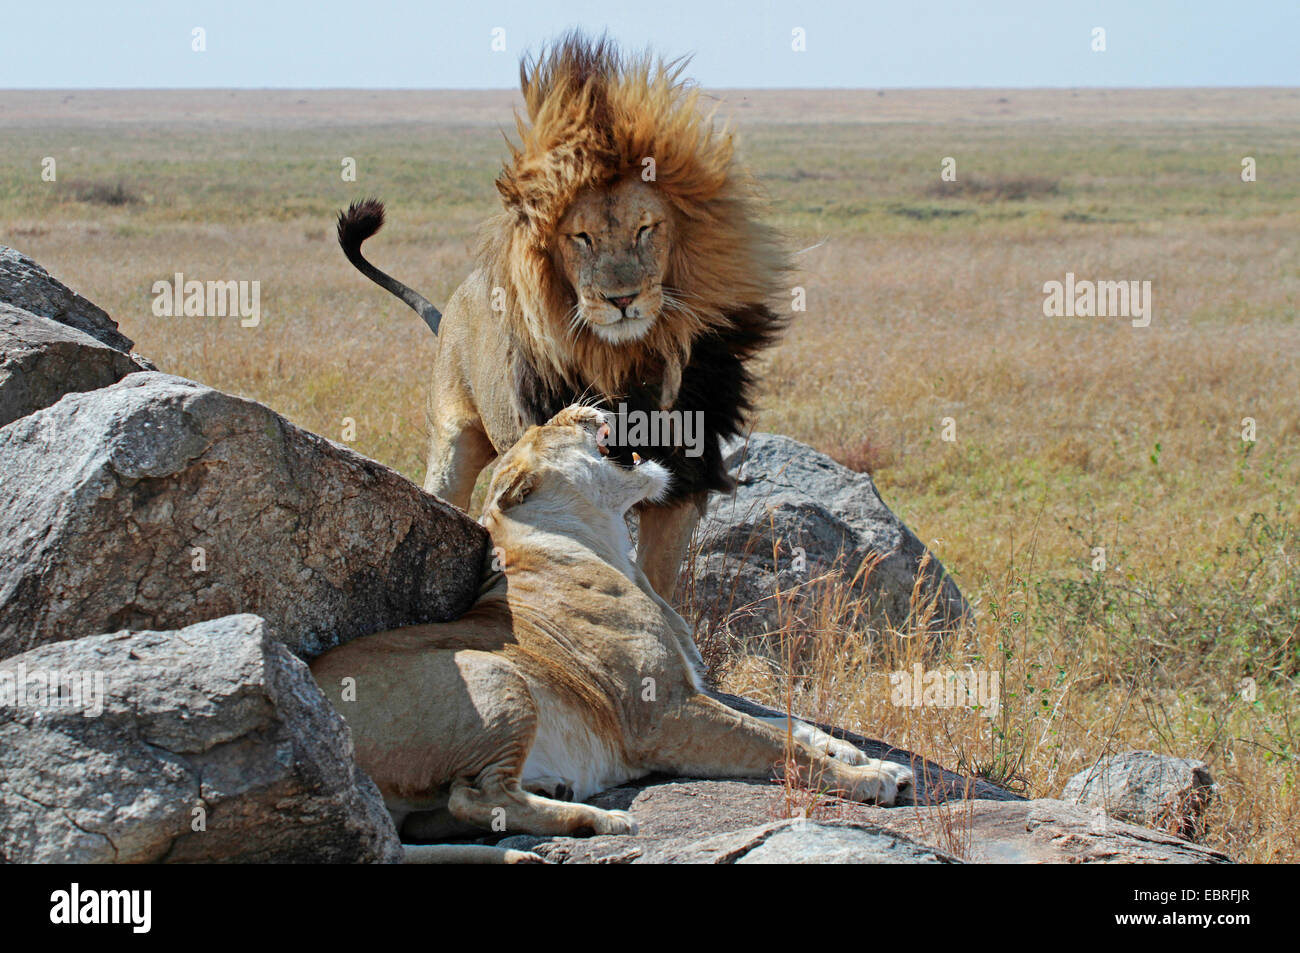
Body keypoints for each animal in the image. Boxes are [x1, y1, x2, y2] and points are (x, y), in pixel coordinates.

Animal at [310, 405, 915, 858]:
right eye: (545, 428)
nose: (578, 406)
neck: (608, 545)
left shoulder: (690, 691)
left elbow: (785, 722)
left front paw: (857, 753)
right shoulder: (663, 713)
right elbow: (777, 744)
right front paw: (871, 780)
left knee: (442, 814)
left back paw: (554, 788)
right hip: (494, 672)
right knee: (474, 796)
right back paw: (600, 822)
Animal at [335, 33, 785, 598]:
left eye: (646, 229)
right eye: (582, 237)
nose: (621, 299)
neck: (625, 361)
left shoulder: (685, 477)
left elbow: (659, 578)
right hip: (453, 443)